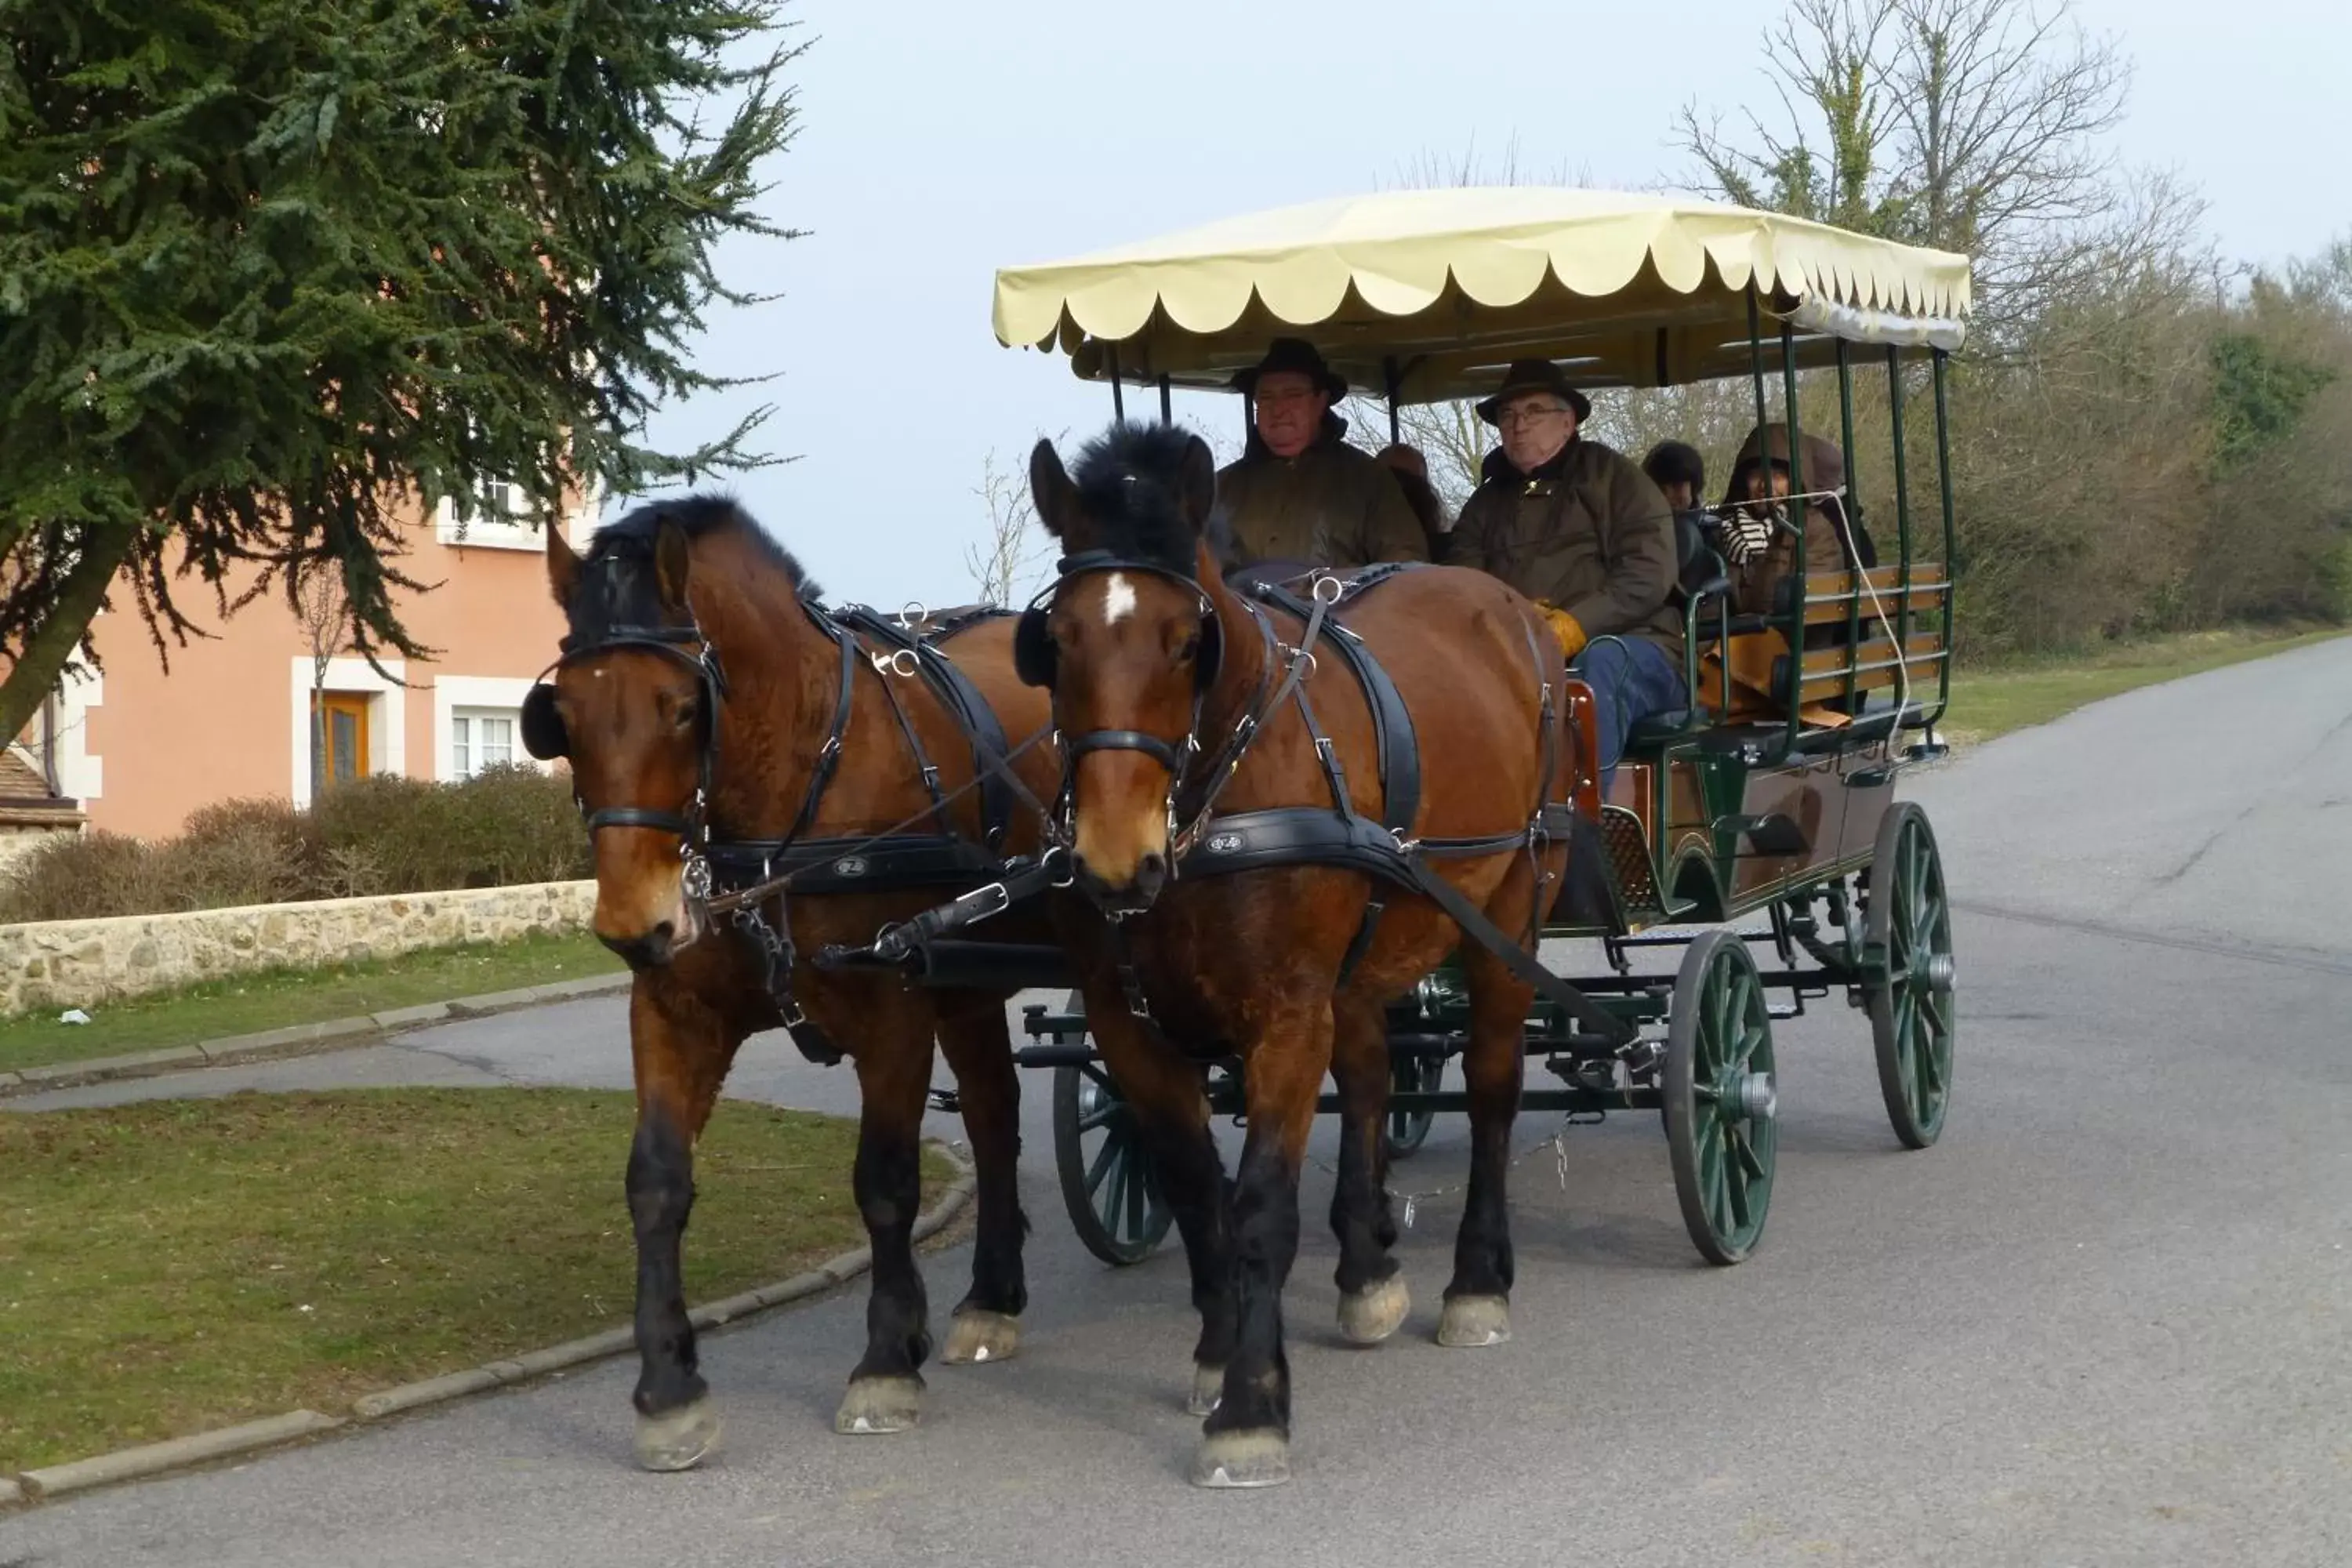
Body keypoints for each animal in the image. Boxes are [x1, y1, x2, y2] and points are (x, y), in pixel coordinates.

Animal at [529, 500, 1063, 1476]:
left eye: (682, 707)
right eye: (564, 715)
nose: (635, 922)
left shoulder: (894, 1008)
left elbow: (885, 1181)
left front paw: (886, 1360)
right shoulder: (675, 1009)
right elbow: (656, 1182)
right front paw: (669, 1389)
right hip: (969, 979)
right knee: (994, 1113)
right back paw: (992, 1294)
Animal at [1016, 423, 1581, 1495]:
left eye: (1187, 640)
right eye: (1054, 640)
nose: (1115, 857)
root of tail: (1510, 607)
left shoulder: (1281, 1019)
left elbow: (1260, 1209)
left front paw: (1250, 1407)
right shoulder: (1128, 1024)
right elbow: (1196, 1190)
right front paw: (1218, 1351)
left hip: (1513, 909)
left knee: (1492, 1085)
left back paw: (1477, 1279)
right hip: (1358, 959)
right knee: (1367, 1079)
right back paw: (1367, 1270)